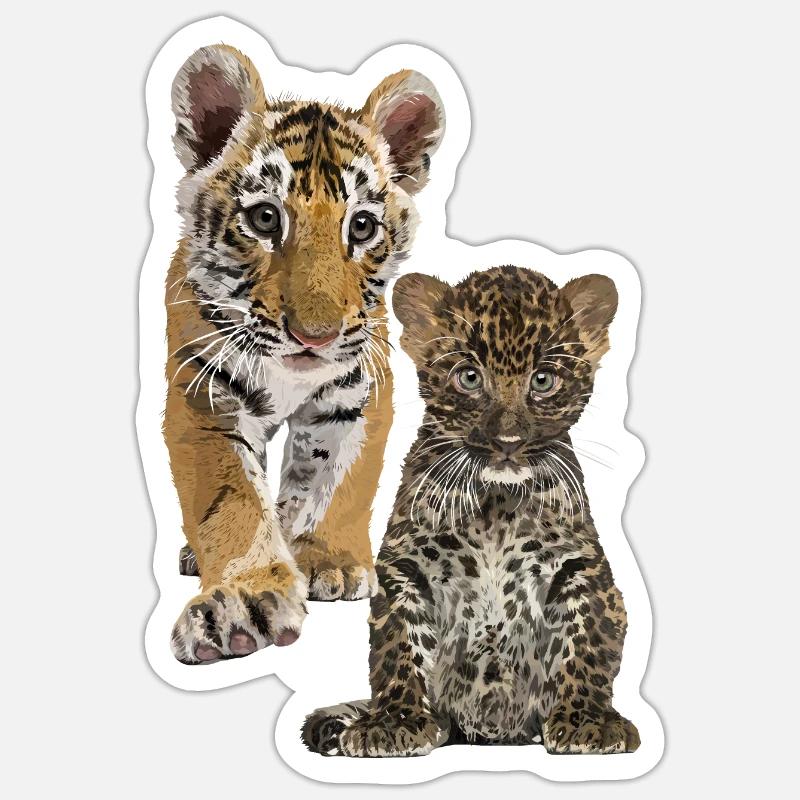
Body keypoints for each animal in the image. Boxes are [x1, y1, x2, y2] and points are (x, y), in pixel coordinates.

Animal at [164, 45, 445, 664]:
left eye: (361, 226)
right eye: (265, 218)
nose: (314, 336)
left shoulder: (359, 392)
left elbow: (336, 480)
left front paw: (329, 561)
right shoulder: (204, 398)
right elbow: (234, 501)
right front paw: (243, 601)